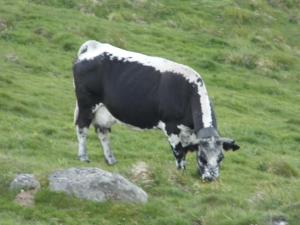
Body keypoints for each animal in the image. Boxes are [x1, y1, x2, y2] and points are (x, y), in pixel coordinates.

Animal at [72, 40, 239, 181]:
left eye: (221, 158)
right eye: (203, 158)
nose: (211, 179)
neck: (187, 93)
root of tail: (94, 46)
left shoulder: (188, 133)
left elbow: (187, 150)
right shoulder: (171, 127)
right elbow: (179, 153)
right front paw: (180, 174)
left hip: (104, 111)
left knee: (103, 133)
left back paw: (111, 160)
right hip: (86, 104)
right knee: (82, 128)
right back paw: (83, 157)